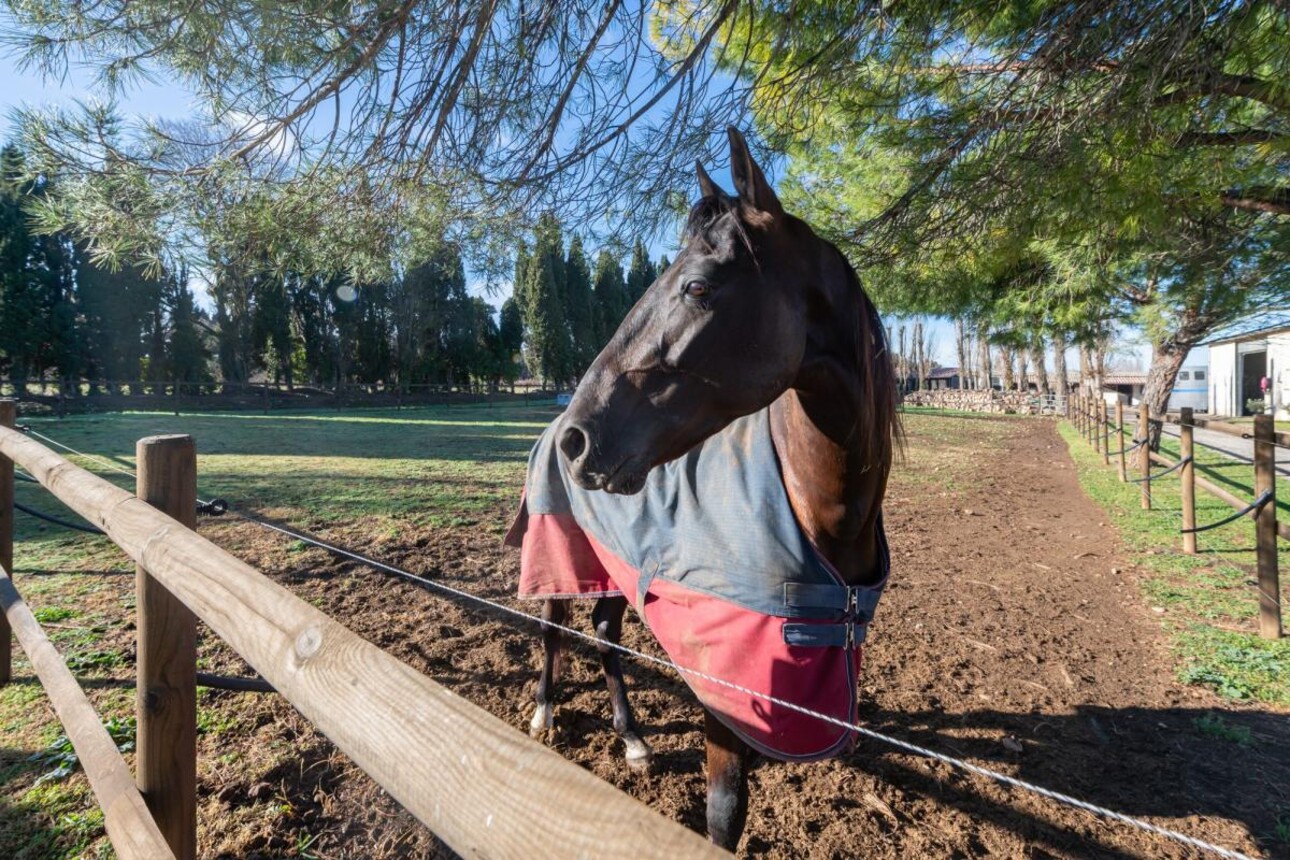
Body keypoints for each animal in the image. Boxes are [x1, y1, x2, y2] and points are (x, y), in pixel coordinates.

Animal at [523, 124, 897, 850]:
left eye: (697, 286)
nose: (580, 438)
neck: (816, 514)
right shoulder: (726, 693)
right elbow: (724, 814)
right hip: (564, 553)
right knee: (554, 626)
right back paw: (545, 714)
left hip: (615, 566)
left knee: (605, 632)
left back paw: (634, 740)